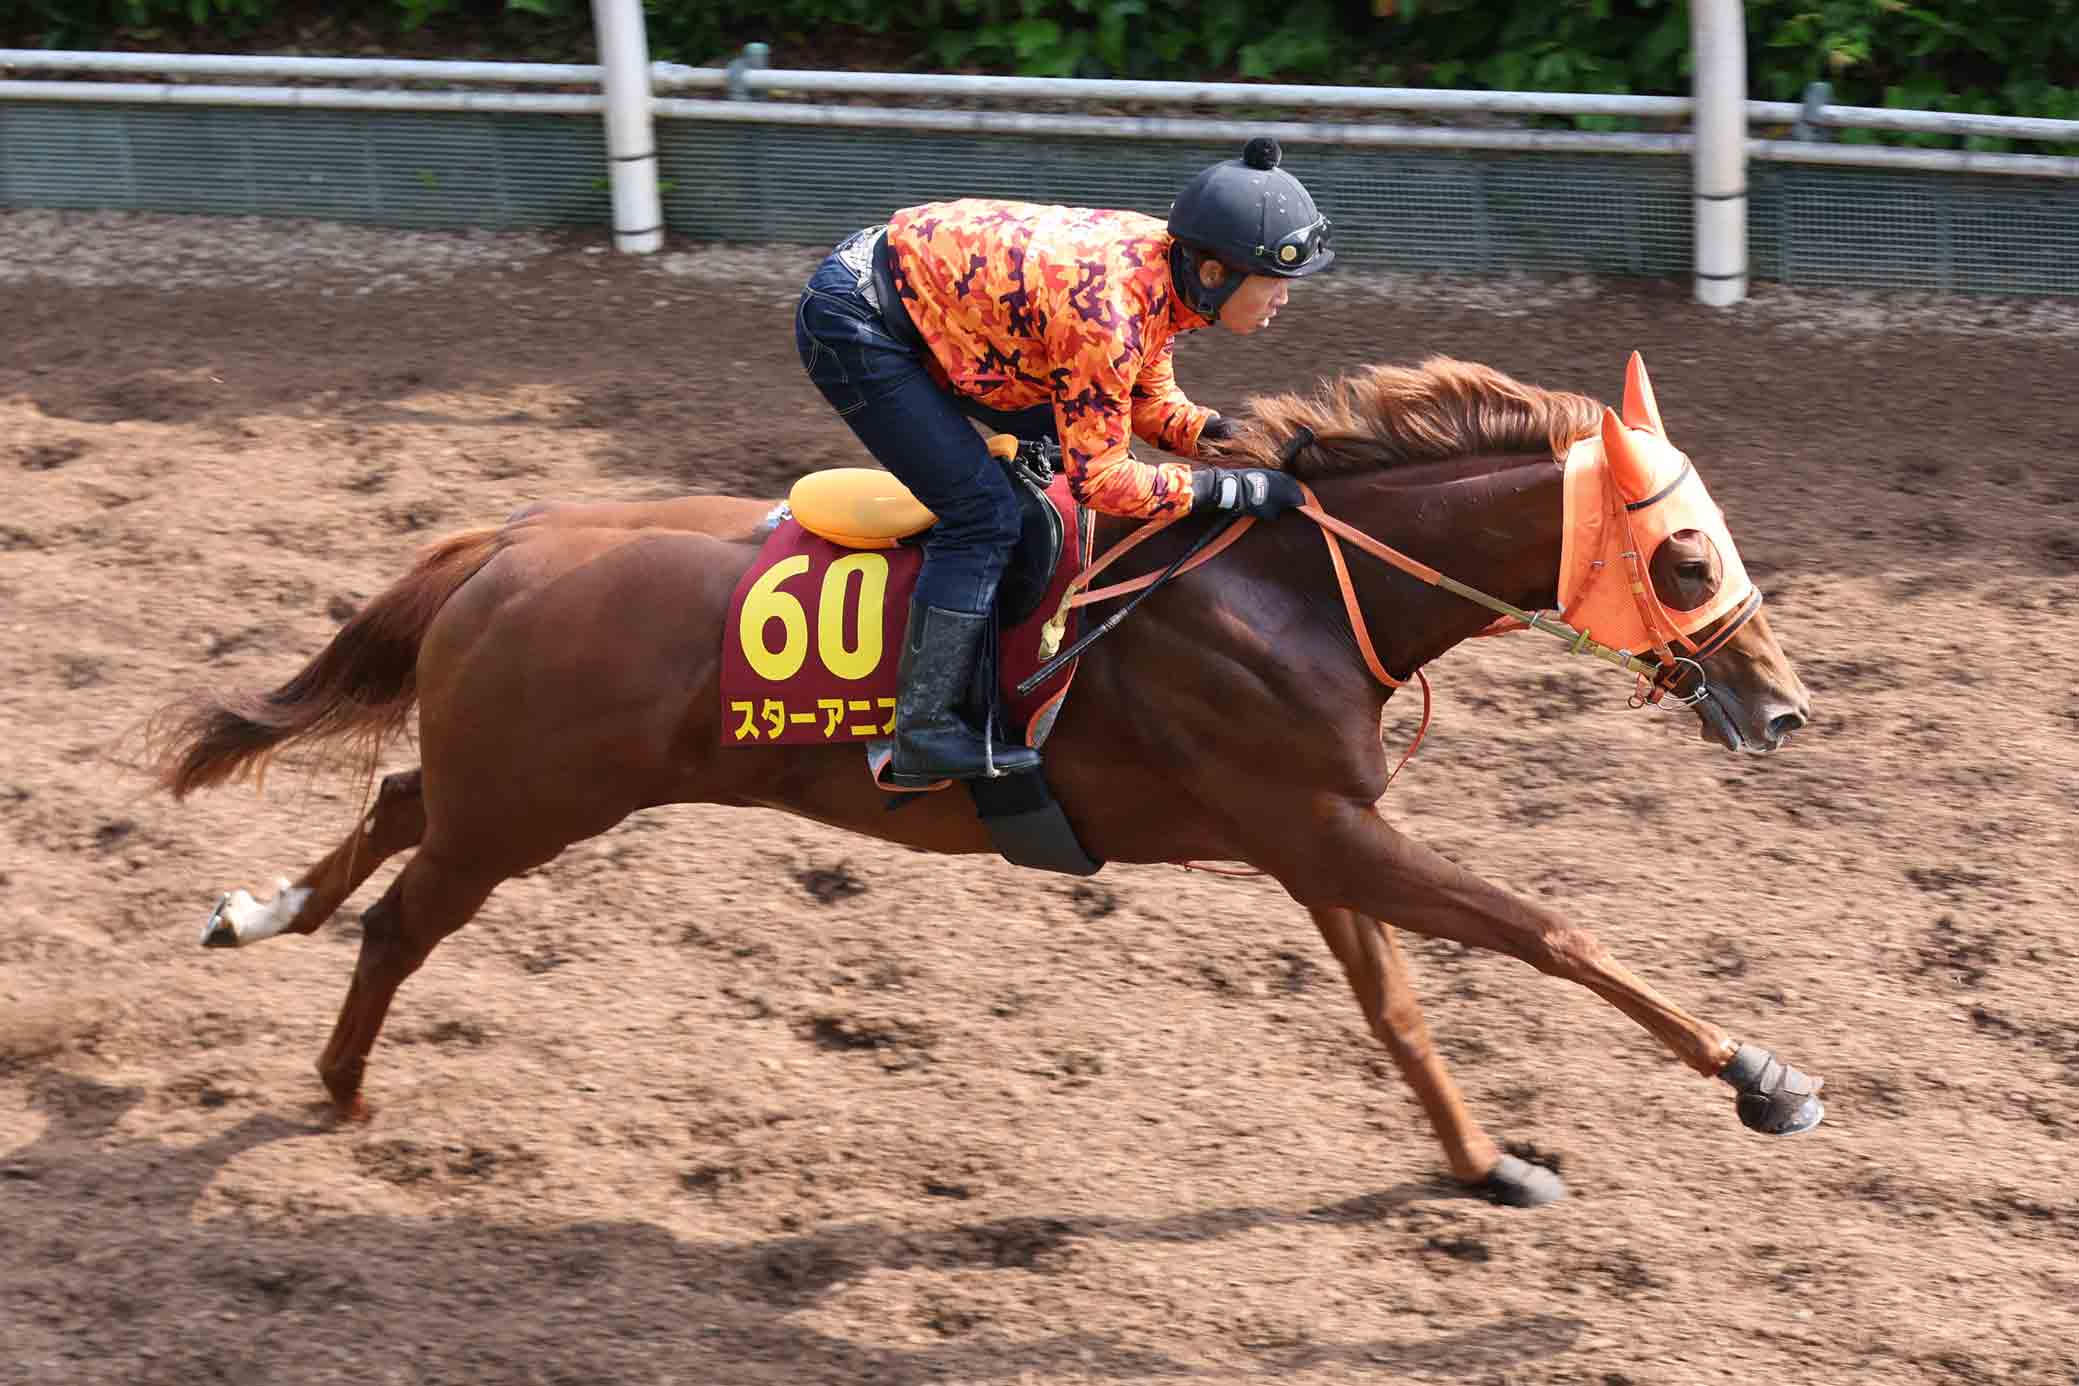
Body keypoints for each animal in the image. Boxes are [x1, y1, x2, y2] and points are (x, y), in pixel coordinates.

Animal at [150, 353, 1821, 1209]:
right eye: (1684, 557)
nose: (1783, 707)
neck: (1285, 580)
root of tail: (506, 539)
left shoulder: (1316, 837)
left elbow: (1399, 1011)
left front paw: (1483, 1164)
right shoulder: (1316, 823)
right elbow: (1549, 931)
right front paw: (1763, 1077)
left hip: (514, 777)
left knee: (393, 807)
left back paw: (258, 909)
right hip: (532, 798)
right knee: (403, 913)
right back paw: (339, 1085)